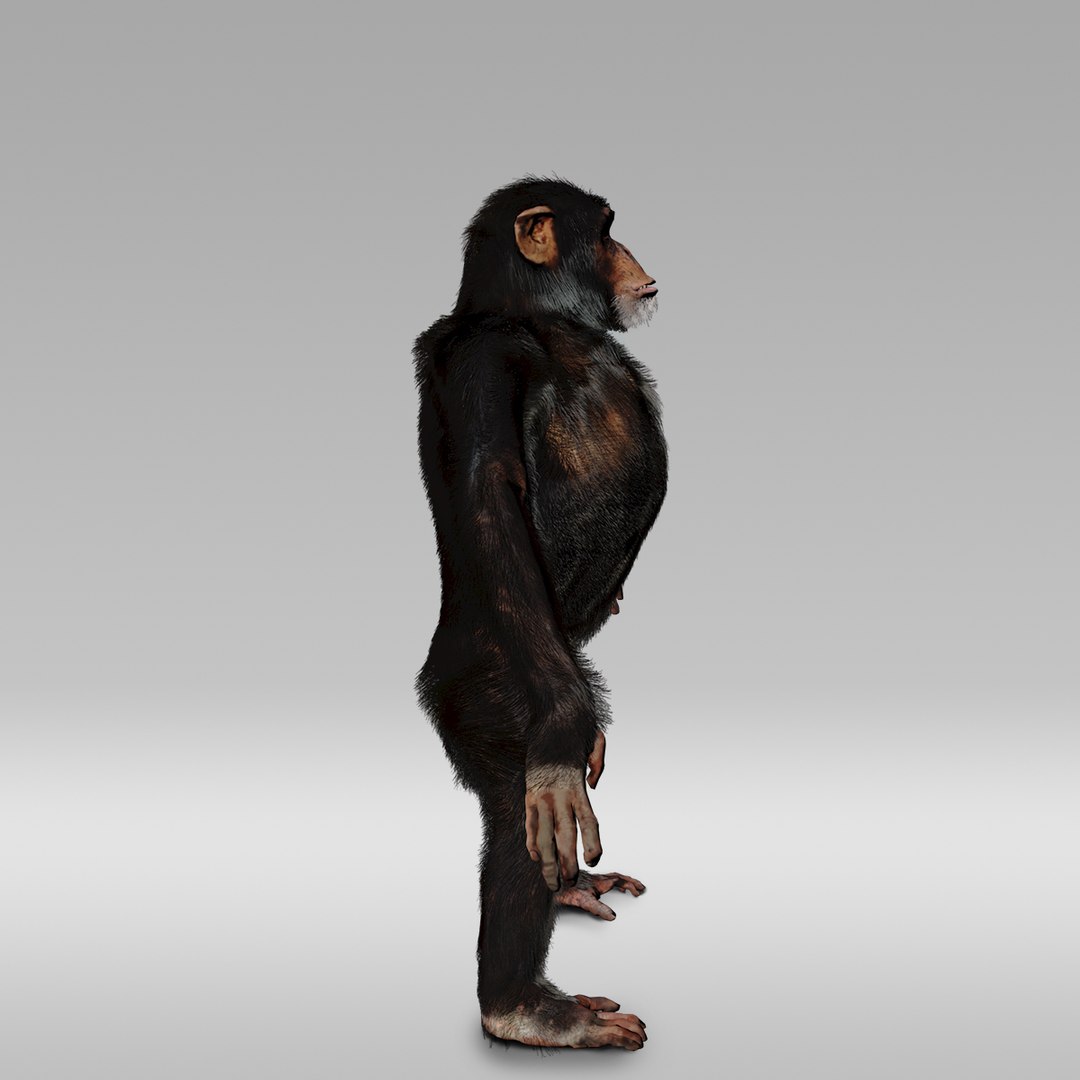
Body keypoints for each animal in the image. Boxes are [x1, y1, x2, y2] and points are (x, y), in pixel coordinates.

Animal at [413, 177, 667, 1051]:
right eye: (608, 231)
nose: (635, 257)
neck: (540, 319)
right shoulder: (482, 367)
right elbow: (492, 493)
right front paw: (564, 746)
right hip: (495, 684)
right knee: (520, 809)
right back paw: (525, 1007)